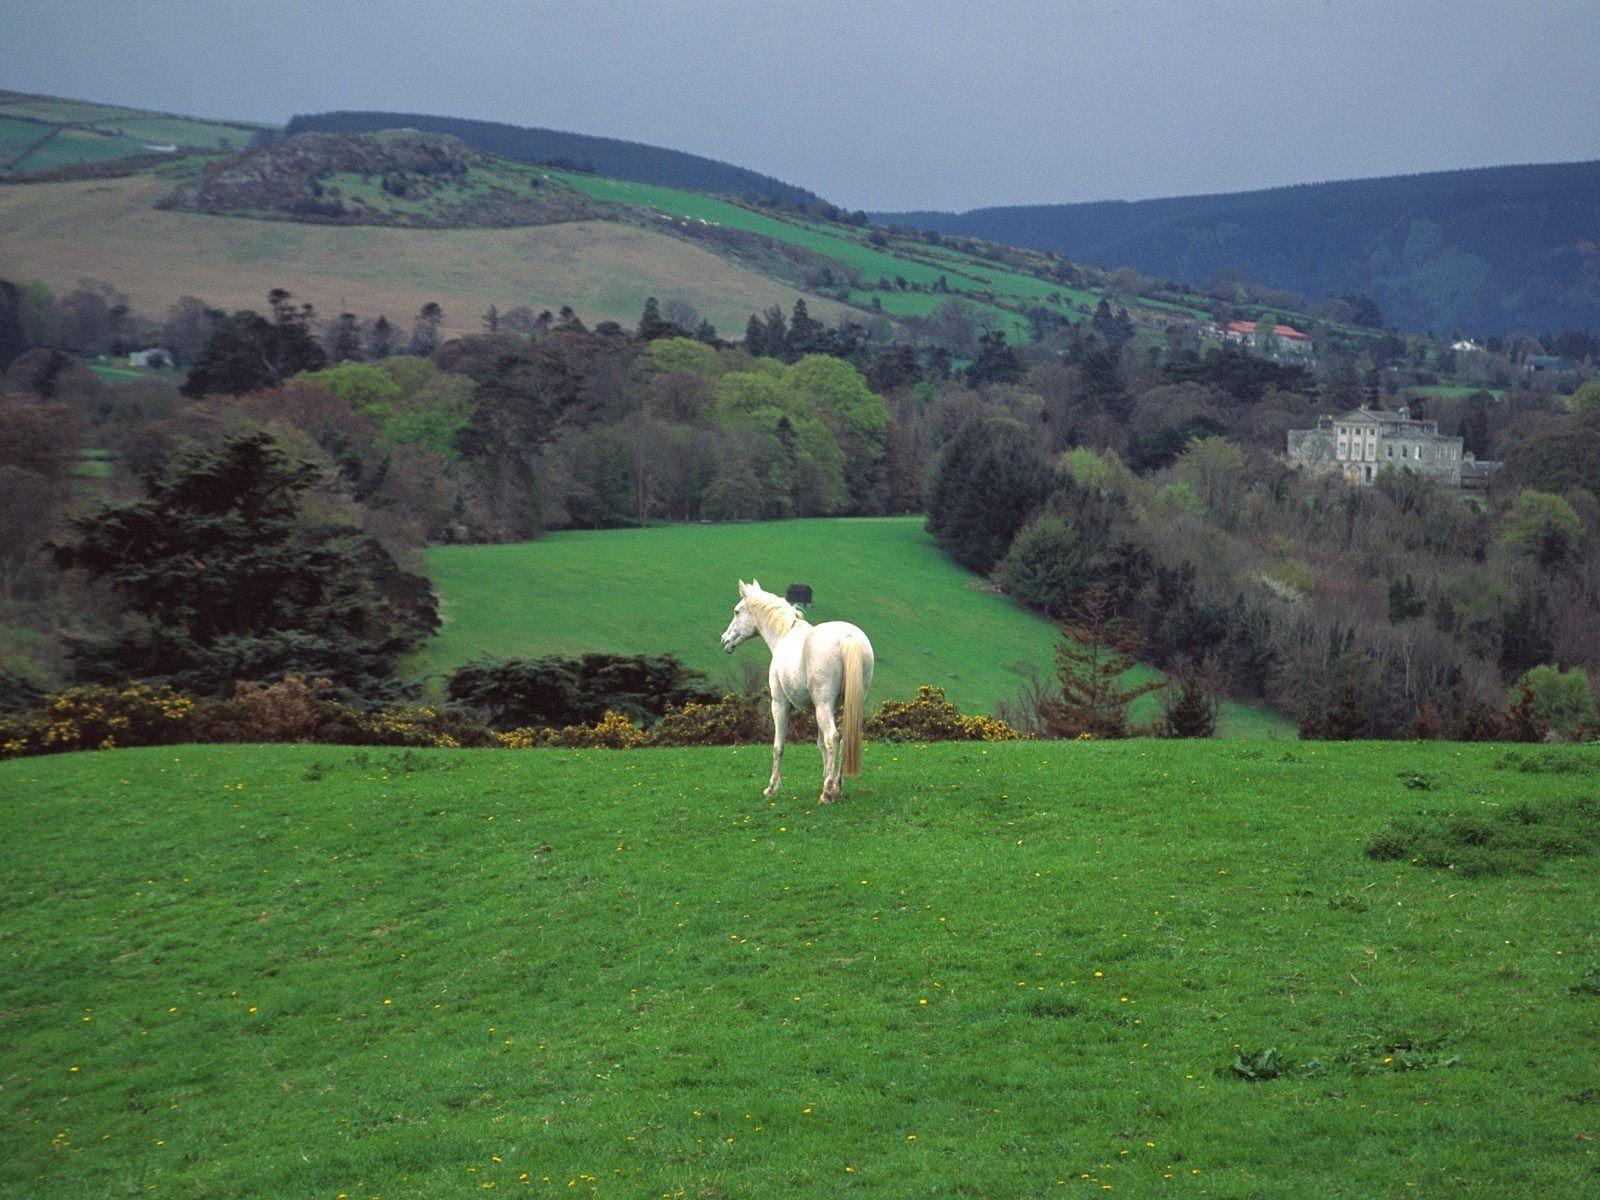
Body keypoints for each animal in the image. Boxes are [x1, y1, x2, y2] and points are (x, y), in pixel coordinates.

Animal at [720, 579, 874, 804]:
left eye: (737, 611)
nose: (725, 641)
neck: (783, 636)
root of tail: (848, 637)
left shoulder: (780, 705)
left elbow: (779, 746)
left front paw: (771, 788)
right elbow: (820, 744)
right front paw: (827, 779)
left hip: (822, 705)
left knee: (832, 737)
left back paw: (826, 794)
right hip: (845, 705)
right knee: (844, 740)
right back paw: (837, 787)